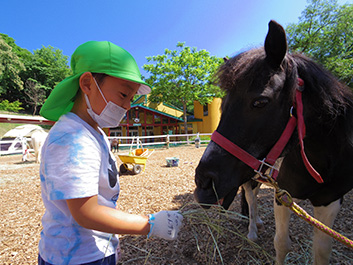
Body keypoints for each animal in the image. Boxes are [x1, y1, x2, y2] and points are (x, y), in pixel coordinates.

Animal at [194, 20, 352, 264]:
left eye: (260, 102)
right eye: (222, 106)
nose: (203, 183)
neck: (322, 161)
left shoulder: (330, 200)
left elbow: (322, 250)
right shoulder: (284, 196)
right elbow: (282, 243)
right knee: (251, 198)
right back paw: (252, 230)